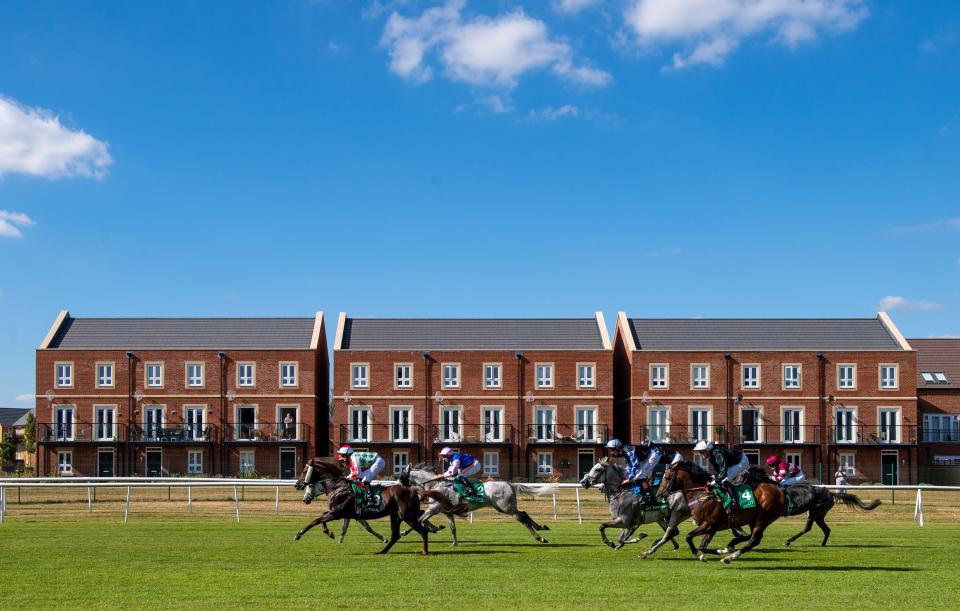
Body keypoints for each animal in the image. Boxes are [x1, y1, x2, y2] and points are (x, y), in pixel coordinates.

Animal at [290, 460, 452, 556]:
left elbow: (316, 520)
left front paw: (298, 534)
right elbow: (321, 519)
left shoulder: (337, 512)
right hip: (396, 515)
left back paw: (425, 549)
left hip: (406, 515)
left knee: (422, 530)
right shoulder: (338, 512)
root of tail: (412, 489)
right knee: (396, 534)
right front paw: (329, 533)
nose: (297, 485)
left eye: (304, 472)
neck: (337, 486)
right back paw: (382, 551)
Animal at [398, 466, 560, 548]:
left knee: (523, 518)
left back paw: (540, 537)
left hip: (506, 508)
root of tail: (510, 484)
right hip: (505, 508)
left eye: (401, 476)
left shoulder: (433, 509)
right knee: (524, 514)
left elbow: (419, 520)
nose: (397, 487)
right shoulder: (447, 512)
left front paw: (404, 532)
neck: (435, 486)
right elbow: (451, 528)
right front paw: (453, 542)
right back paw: (541, 530)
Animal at [660, 464, 788, 564]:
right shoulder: (711, 529)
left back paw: (729, 558)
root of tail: (780, 492)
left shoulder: (709, 525)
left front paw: (702, 555)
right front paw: (719, 551)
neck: (701, 495)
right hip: (754, 520)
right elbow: (702, 546)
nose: (659, 493)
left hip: (763, 518)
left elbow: (689, 536)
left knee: (754, 540)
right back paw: (730, 546)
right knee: (753, 537)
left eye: (667, 477)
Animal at [740, 466, 880, 548]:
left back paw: (788, 540)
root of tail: (831, 493)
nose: (737, 482)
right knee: (827, 530)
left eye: (742, 475)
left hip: (815, 511)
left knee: (807, 528)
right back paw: (822, 544)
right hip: (819, 515)